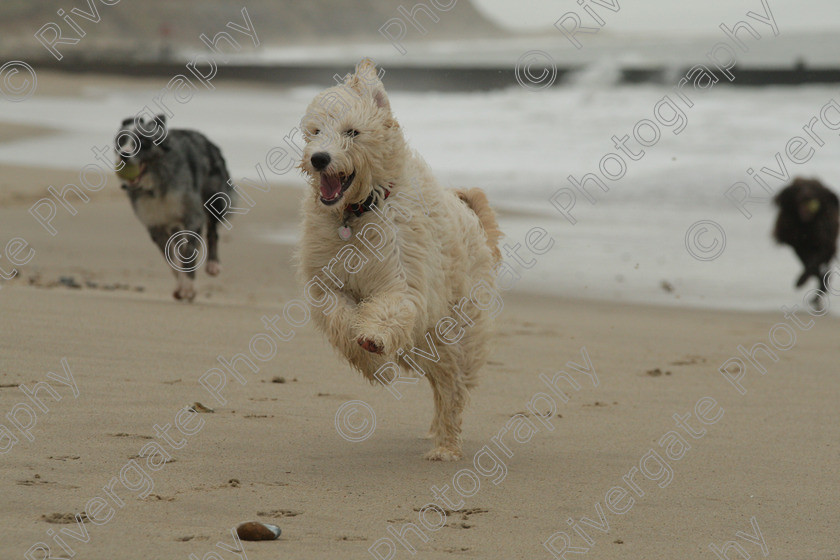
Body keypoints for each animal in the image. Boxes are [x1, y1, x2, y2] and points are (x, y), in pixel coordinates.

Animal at [298, 59, 502, 462]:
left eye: (352, 132)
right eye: (315, 132)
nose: (319, 158)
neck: (359, 211)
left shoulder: (404, 279)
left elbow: (390, 307)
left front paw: (373, 338)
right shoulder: (326, 283)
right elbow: (337, 316)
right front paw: (372, 364)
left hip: (452, 333)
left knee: (452, 387)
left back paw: (446, 445)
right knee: (441, 383)